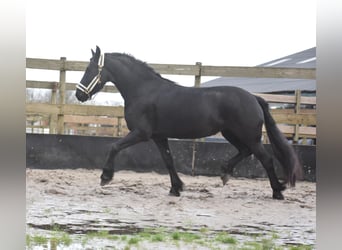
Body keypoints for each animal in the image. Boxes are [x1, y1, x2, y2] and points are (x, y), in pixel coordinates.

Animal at [76, 46, 300, 199]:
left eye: (89, 69)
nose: (79, 95)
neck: (144, 91)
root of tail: (253, 98)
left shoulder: (141, 133)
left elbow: (114, 146)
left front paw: (105, 177)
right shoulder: (159, 137)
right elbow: (168, 160)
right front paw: (176, 188)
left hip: (249, 136)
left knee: (266, 158)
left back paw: (277, 191)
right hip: (231, 133)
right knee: (245, 152)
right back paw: (225, 173)